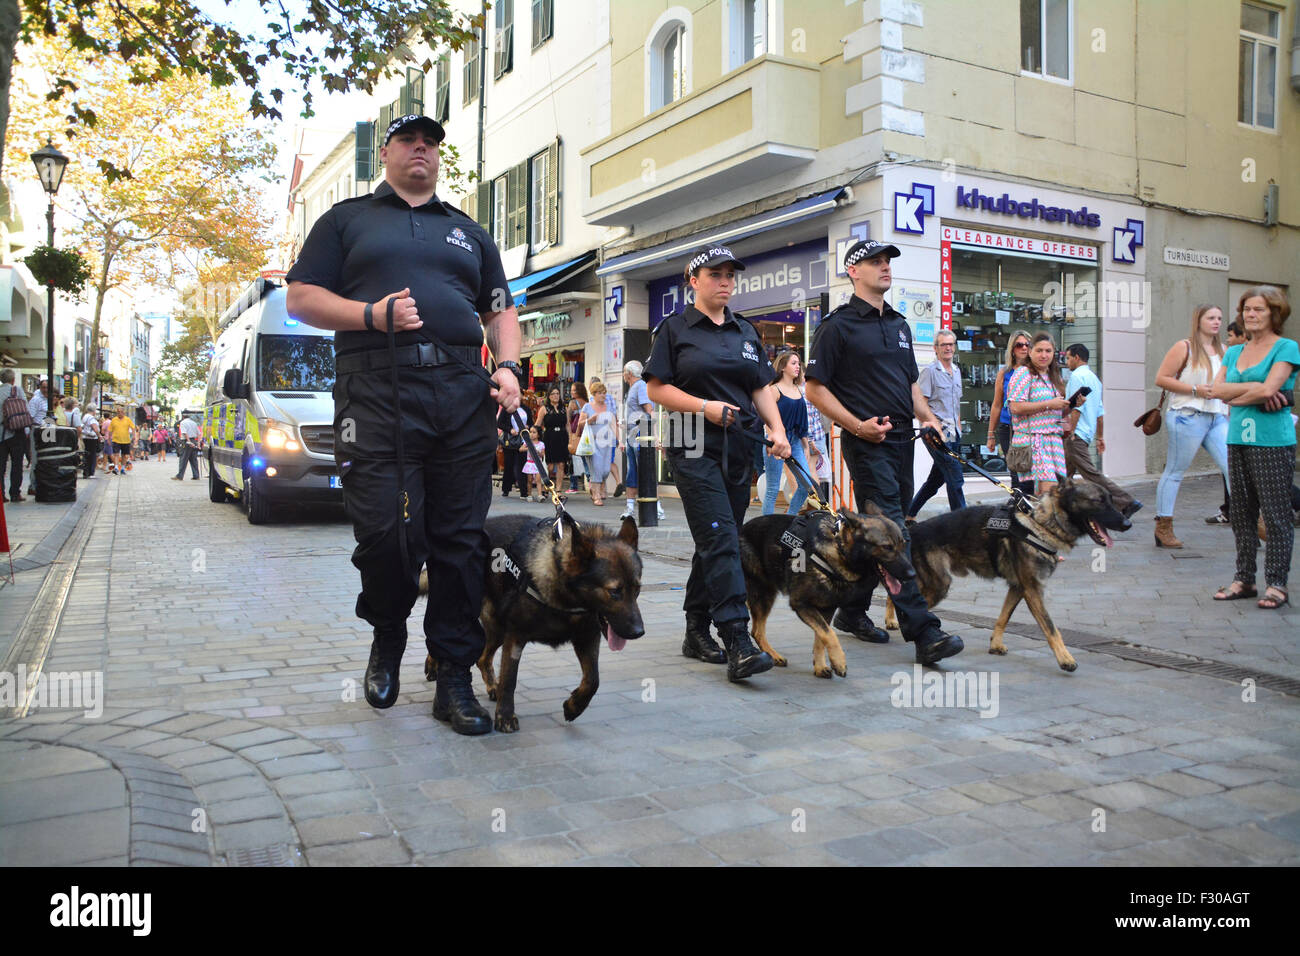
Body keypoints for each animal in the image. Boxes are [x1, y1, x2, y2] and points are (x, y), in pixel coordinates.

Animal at [421, 515, 644, 733]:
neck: (566, 598)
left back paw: (492, 686)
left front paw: (574, 706)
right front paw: (505, 716)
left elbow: (593, 680)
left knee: (483, 658)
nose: (639, 632)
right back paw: (434, 664)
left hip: (497, 630)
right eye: (614, 592)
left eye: (637, 589)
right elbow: (509, 680)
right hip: (483, 619)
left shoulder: (587, 638)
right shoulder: (515, 638)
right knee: (444, 634)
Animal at [743, 509, 915, 681]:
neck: (839, 548)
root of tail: (743, 528)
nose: (912, 575)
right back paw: (772, 655)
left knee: (756, 630)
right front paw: (839, 661)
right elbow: (829, 633)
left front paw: (820, 666)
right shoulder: (801, 604)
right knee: (757, 631)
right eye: (887, 547)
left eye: (903, 544)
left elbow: (821, 638)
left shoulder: (826, 609)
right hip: (763, 595)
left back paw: (773, 655)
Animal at [878, 478, 1133, 671]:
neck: (1041, 524)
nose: (1127, 524)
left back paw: (892, 620)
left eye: (1111, 500)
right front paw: (1065, 659)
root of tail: (913, 529)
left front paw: (995, 644)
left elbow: (1003, 618)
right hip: (939, 584)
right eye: (1098, 501)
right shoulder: (1033, 590)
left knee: (895, 593)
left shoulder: (1018, 588)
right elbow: (1051, 628)